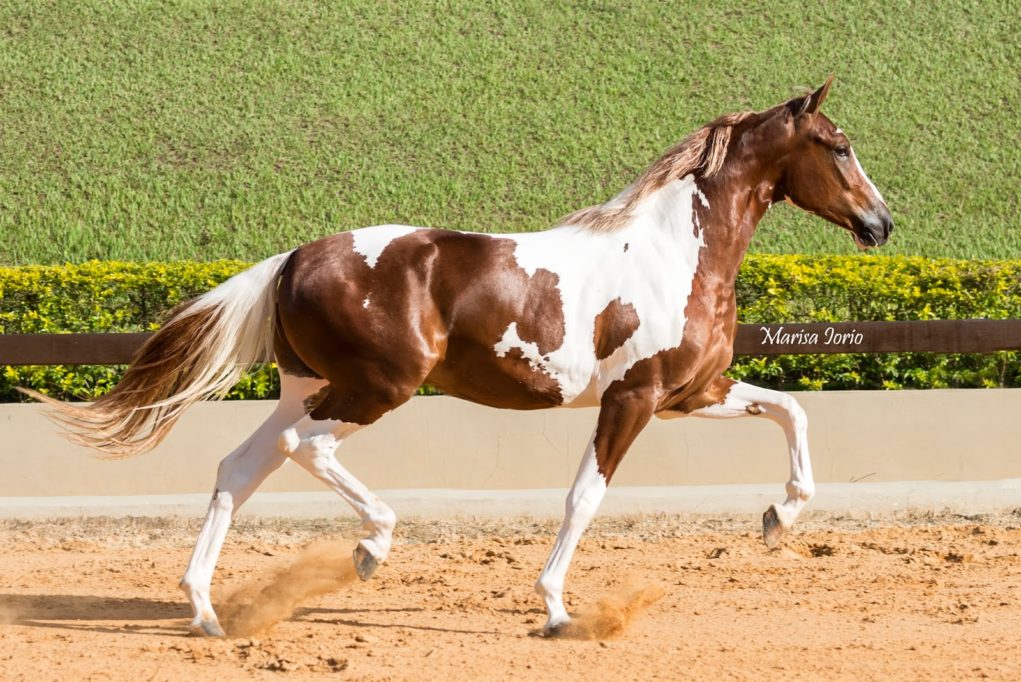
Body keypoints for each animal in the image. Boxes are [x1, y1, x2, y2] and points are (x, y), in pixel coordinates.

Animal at [27, 77, 890, 637]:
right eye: (839, 147)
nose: (880, 223)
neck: (676, 253)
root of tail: (293, 257)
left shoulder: (692, 391)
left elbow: (790, 409)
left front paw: (779, 517)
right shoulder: (634, 398)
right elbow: (584, 497)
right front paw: (555, 609)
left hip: (306, 385)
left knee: (240, 468)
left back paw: (205, 612)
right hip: (376, 388)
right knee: (305, 449)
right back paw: (369, 547)